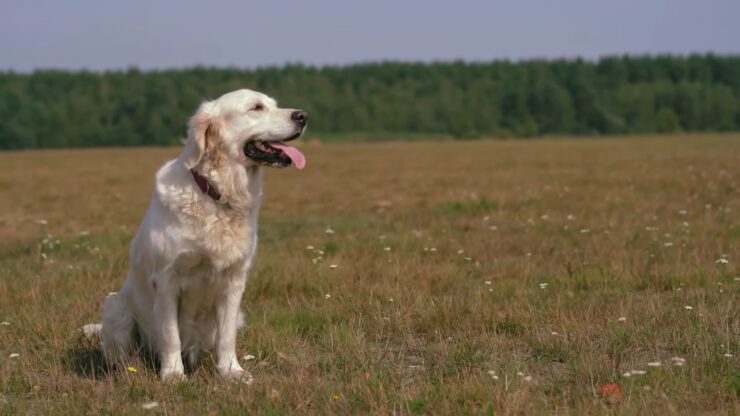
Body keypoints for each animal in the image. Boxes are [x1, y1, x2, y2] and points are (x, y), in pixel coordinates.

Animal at [85, 89, 308, 382]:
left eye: (274, 104)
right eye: (256, 108)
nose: (303, 116)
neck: (217, 196)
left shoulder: (234, 281)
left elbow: (226, 337)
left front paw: (231, 371)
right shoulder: (166, 280)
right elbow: (170, 336)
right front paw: (173, 375)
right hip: (115, 307)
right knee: (124, 355)